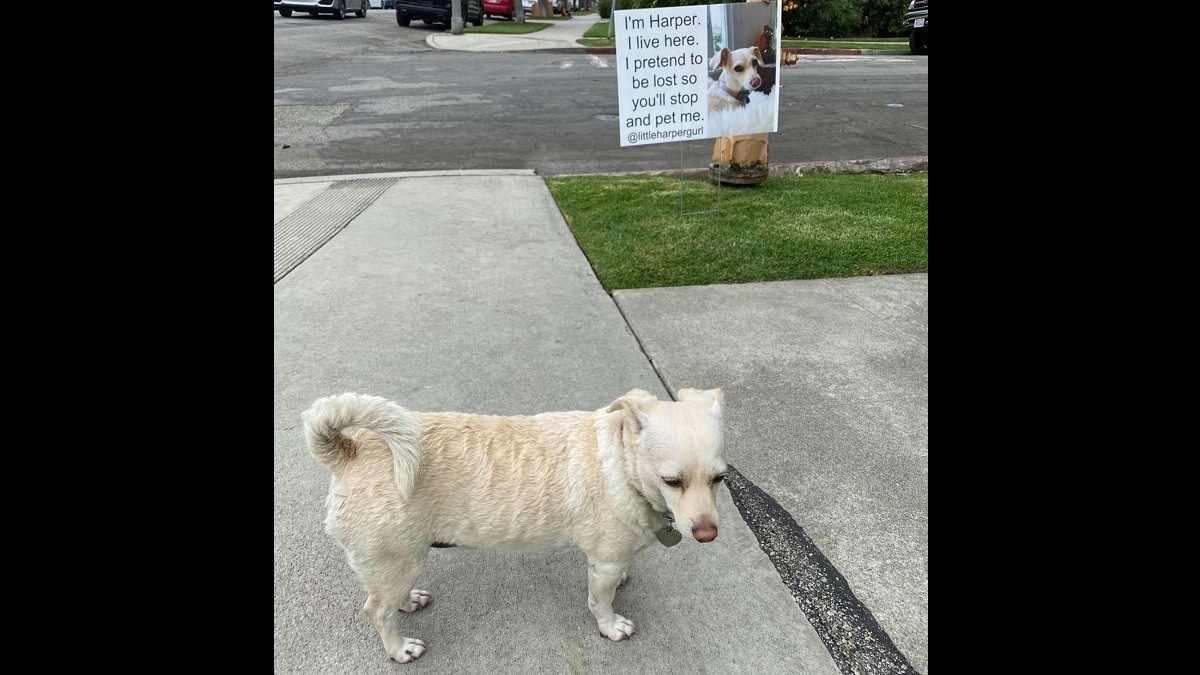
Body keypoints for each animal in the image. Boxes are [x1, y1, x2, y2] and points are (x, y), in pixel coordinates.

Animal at [304, 386, 724, 658]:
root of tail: (350, 451)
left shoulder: (608, 559)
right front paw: (610, 626)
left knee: (388, 600)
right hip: (396, 560)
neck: (622, 464)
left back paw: (409, 602)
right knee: (377, 612)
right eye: (672, 481)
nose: (707, 534)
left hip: (398, 562)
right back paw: (399, 649)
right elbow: (600, 602)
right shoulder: (604, 563)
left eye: (720, 478)